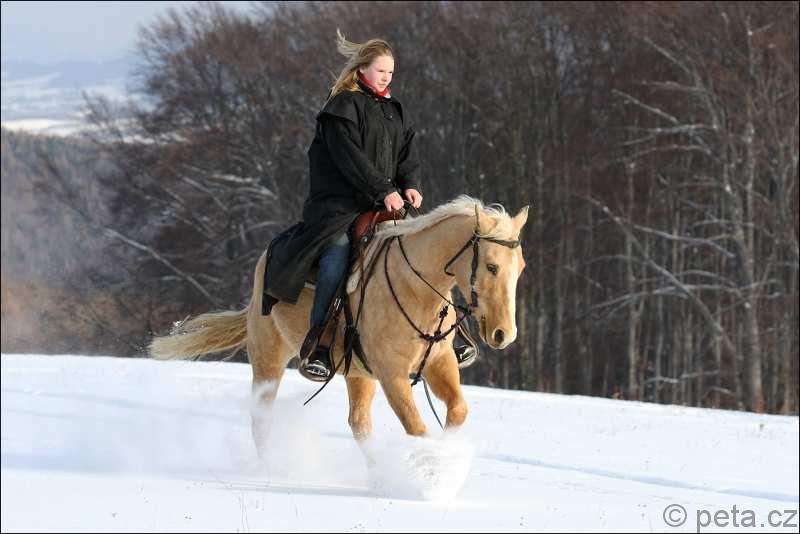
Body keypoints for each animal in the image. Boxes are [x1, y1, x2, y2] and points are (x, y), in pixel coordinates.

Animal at [150, 195, 528, 456]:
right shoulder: (391, 375)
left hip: (357, 372)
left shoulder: (440, 362)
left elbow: (457, 411)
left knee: (359, 424)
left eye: (520, 267)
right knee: (262, 416)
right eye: (491, 266)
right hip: (268, 359)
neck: (415, 287)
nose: (504, 334)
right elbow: (417, 428)